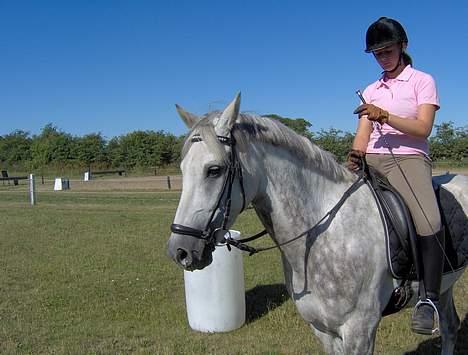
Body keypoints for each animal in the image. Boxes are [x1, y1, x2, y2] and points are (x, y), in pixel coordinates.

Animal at [166, 93, 466, 354]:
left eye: (214, 170)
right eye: (182, 170)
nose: (179, 251)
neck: (325, 235)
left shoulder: (360, 330)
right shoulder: (323, 330)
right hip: (445, 286)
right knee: (450, 327)